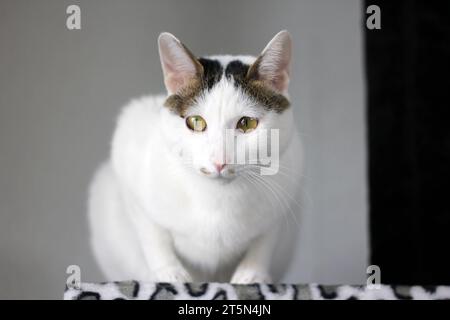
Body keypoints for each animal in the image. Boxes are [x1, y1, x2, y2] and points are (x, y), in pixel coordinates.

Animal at [88, 30, 304, 282]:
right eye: (196, 122)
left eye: (247, 123)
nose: (219, 161)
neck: (217, 199)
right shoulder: (128, 150)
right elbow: (152, 235)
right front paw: (170, 274)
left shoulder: (287, 190)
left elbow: (265, 240)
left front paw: (251, 275)